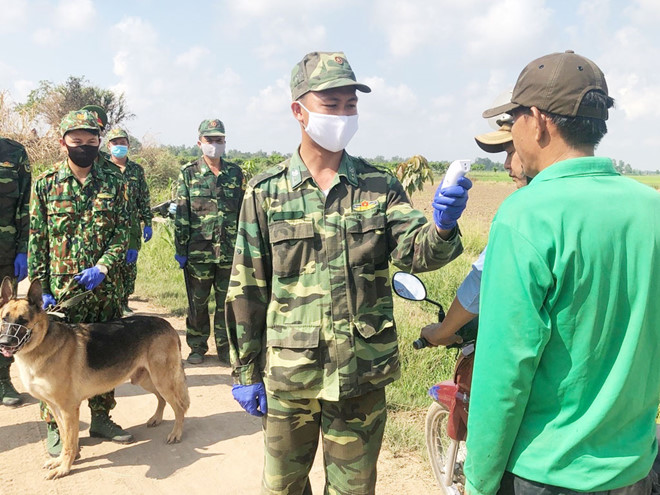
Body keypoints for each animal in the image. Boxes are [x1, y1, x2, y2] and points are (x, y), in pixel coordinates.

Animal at [0, 278, 191, 478]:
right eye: (4, 319)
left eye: (23, 321)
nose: (4, 343)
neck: (42, 342)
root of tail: (167, 324)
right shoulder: (55, 407)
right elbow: (65, 436)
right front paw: (60, 461)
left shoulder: (69, 409)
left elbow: (70, 442)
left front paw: (64, 468)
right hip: (146, 380)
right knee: (162, 399)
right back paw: (156, 418)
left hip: (162, 380)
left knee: (179, 407)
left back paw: (176, 433)